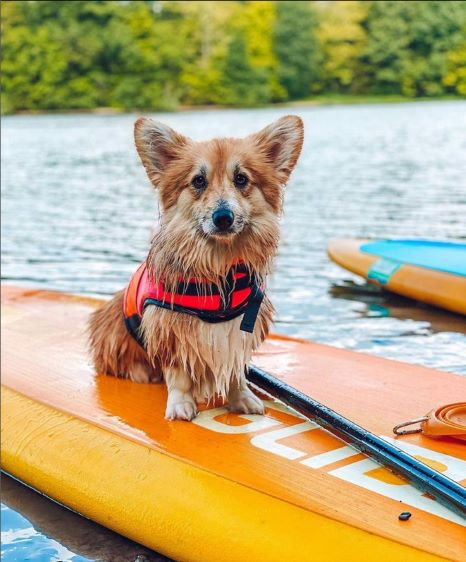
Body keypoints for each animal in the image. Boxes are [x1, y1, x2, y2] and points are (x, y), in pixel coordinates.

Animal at [88, 114, 304, 418]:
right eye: (198, 181)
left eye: (241, 179)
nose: (223, 217)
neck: (220, 266)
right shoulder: (171, 329)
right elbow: (178, 374)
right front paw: (181, 406)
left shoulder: (238, 331)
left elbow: (236, 370)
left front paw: (241, 398)